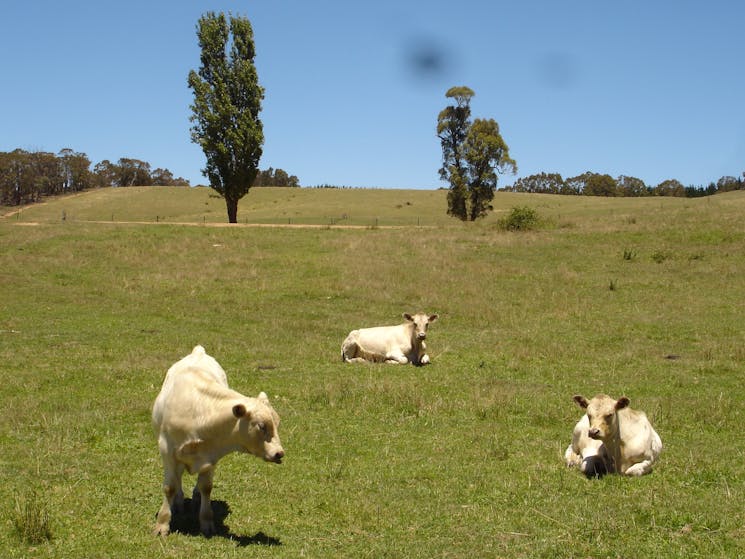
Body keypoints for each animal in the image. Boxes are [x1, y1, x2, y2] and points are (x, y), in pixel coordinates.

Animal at [152, 346, 284, 540]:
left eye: (277, 423)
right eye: (261, 426)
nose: (279, 453)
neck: (199, 411)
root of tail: (198, 351)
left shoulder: (212, 455)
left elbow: (206, 487)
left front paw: (206, 522)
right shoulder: (167, 450)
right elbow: (170, 487)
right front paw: (162, 524)